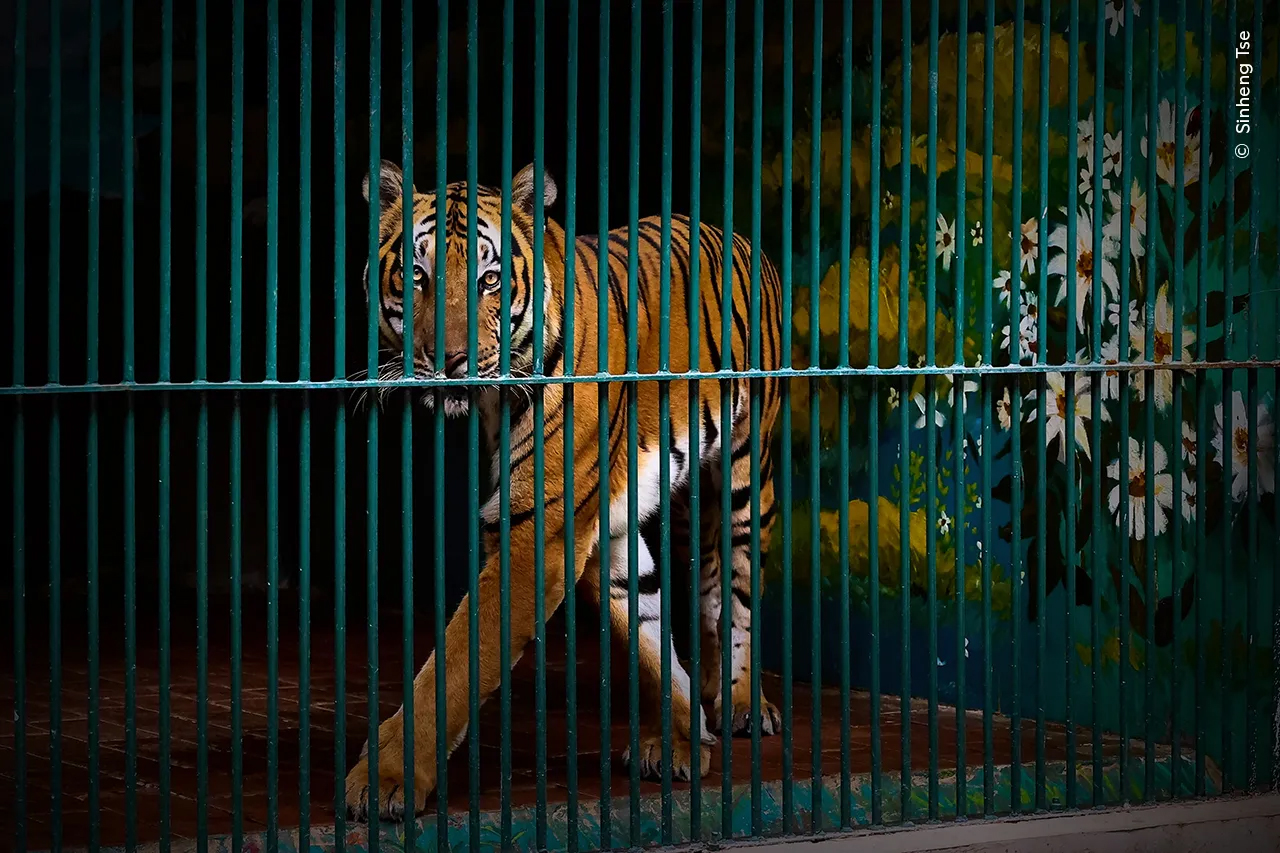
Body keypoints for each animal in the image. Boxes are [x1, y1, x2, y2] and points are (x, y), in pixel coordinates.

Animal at [345, 157, 783, 819]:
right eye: (415, 275)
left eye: (490, 280)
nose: (449, 361)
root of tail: (731, 233)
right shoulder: (594, 531)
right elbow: (649, 639)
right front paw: (683, 739)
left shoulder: (535, 538)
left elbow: (454, 663)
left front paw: (385, 778)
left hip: (744, 479)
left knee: (739, 597)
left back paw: (739, 704)